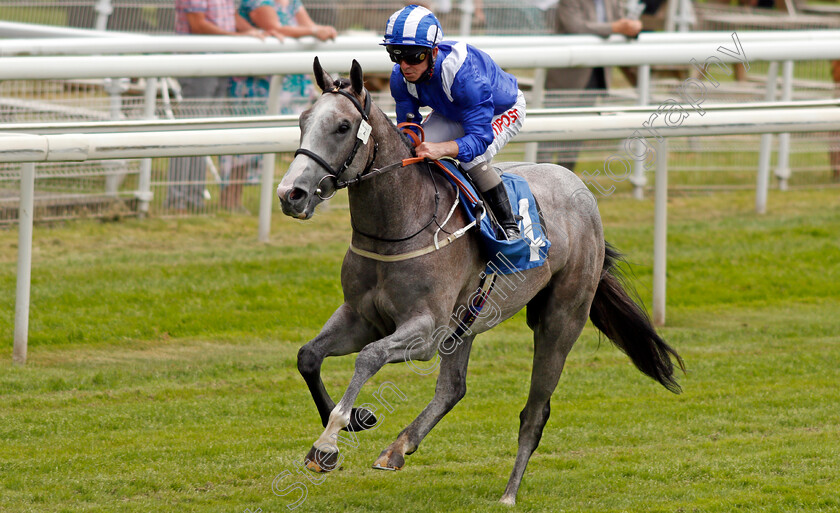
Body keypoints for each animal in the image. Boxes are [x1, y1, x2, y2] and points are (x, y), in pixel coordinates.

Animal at [276, 59, 684, 504]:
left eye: (343, 126)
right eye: (303, 121)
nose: (291, 194)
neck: (400, 225)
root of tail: (581, 191)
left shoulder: (425, 332)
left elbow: (369, 357)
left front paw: (329, 442)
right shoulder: (361, 316)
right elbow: (308, 356)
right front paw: (355, 419)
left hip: (560, 320)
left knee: (535, 411)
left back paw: (509, 492)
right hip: (467, 321)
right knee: (453, 388)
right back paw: (398, 448)